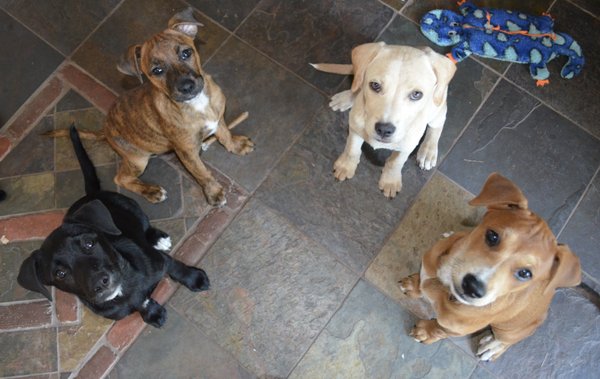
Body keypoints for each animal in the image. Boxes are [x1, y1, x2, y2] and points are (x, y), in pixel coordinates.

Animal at [17, 126, 210, 328]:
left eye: (88, 244)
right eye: (60, 273)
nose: (100, 283)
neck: (124, 287)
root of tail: (91, 195)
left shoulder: (158, 260)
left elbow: (174, 266)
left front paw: (194, 278)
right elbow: (140, 303)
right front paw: (152, 313)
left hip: (131, 205)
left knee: (144, 226)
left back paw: (157, 238)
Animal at [75, 8, 253, 206]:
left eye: (186, 53)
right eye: (157, 71)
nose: (186, 87)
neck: (196, 104)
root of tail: (105, 129)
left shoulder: (218, 118)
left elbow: (225, 135)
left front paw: (236, 145)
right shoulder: (187, 152)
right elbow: (202, 173)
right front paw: (213, 193)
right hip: (138, 160)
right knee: (121, 179)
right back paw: (151, 191)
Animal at [314, 43, 454, 199]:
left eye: (416, 94)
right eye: (375, 85)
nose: (384, 129)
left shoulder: (408, 145)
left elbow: (396, 162)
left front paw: (390, 181)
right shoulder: (355, 128)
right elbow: (352, 149)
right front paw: (345, 166)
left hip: (437, 108)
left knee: (438, 125)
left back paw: (428, 152)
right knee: (357, 82)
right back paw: (347, 97)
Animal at [398, 174, 580, 360]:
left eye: (525, 273)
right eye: (492, 236)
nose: (473, 287)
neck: (445, 287)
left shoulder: (455, 328)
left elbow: (440, 329)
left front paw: (426, 332)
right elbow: (421, 279)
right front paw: (414, 285)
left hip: (511, 329)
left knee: (509, 339)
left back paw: (493, 347)